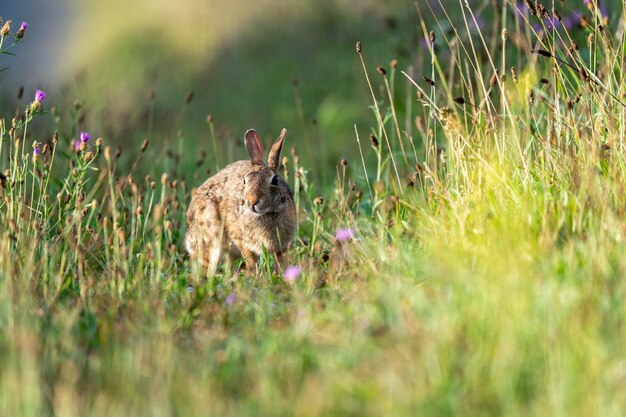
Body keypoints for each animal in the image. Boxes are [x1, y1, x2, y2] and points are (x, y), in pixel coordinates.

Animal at [184, 128, 296, 274]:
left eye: (275, 180)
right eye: (244, 181)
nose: (253, 200)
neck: (266, 213)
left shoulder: (282, 245)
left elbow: (280, 260)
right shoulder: (241, 239)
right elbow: (251, 259)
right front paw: (255, 275)